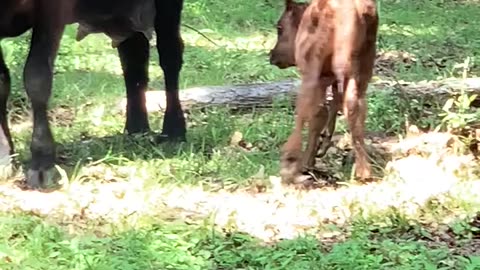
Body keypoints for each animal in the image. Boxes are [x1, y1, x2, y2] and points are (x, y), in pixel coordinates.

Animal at [0, 0, 187, 189]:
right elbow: (2, 83)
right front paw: (5, 158)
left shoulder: (52, 11)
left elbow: (37, 77)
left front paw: (42, 161)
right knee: (134, 60)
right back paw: (136, 129)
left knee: (170, 55)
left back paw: (174, 130)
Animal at [270, 0, 378, 184]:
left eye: (280, 27)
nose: (272, 55)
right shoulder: (332, 78)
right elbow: (332, 108)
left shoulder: (318, 75)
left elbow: (318, 113)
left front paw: (307, 161)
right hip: (363, 67)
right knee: (356, 107)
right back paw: (363, 170)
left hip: (314, 71)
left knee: (306, 111)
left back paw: (290, 163)